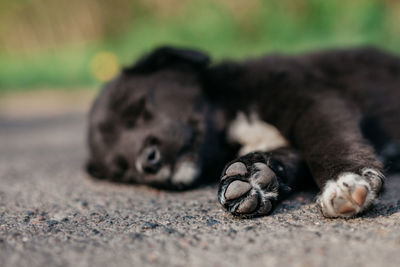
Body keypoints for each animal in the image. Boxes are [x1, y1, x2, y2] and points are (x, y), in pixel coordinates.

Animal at [87, 46, 400, 219]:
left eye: (140, 107)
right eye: (123, 169)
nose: (147, 162)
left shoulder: (310, 99)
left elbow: (324, 137)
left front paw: (342, 181)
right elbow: (283, 156)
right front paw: (250, 179)